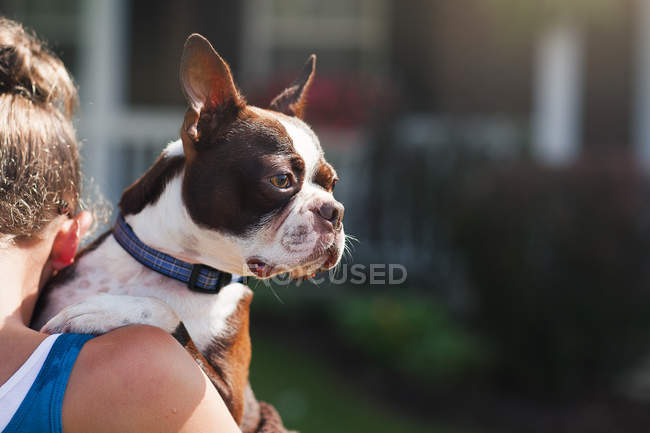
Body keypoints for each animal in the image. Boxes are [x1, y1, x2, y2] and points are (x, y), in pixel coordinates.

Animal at [31, 33, 344, 432]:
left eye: (332, 184)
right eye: (281, 180)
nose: (335, 211)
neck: (174, 267)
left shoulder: (233, 402)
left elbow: (164, 313)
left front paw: (105, 309)